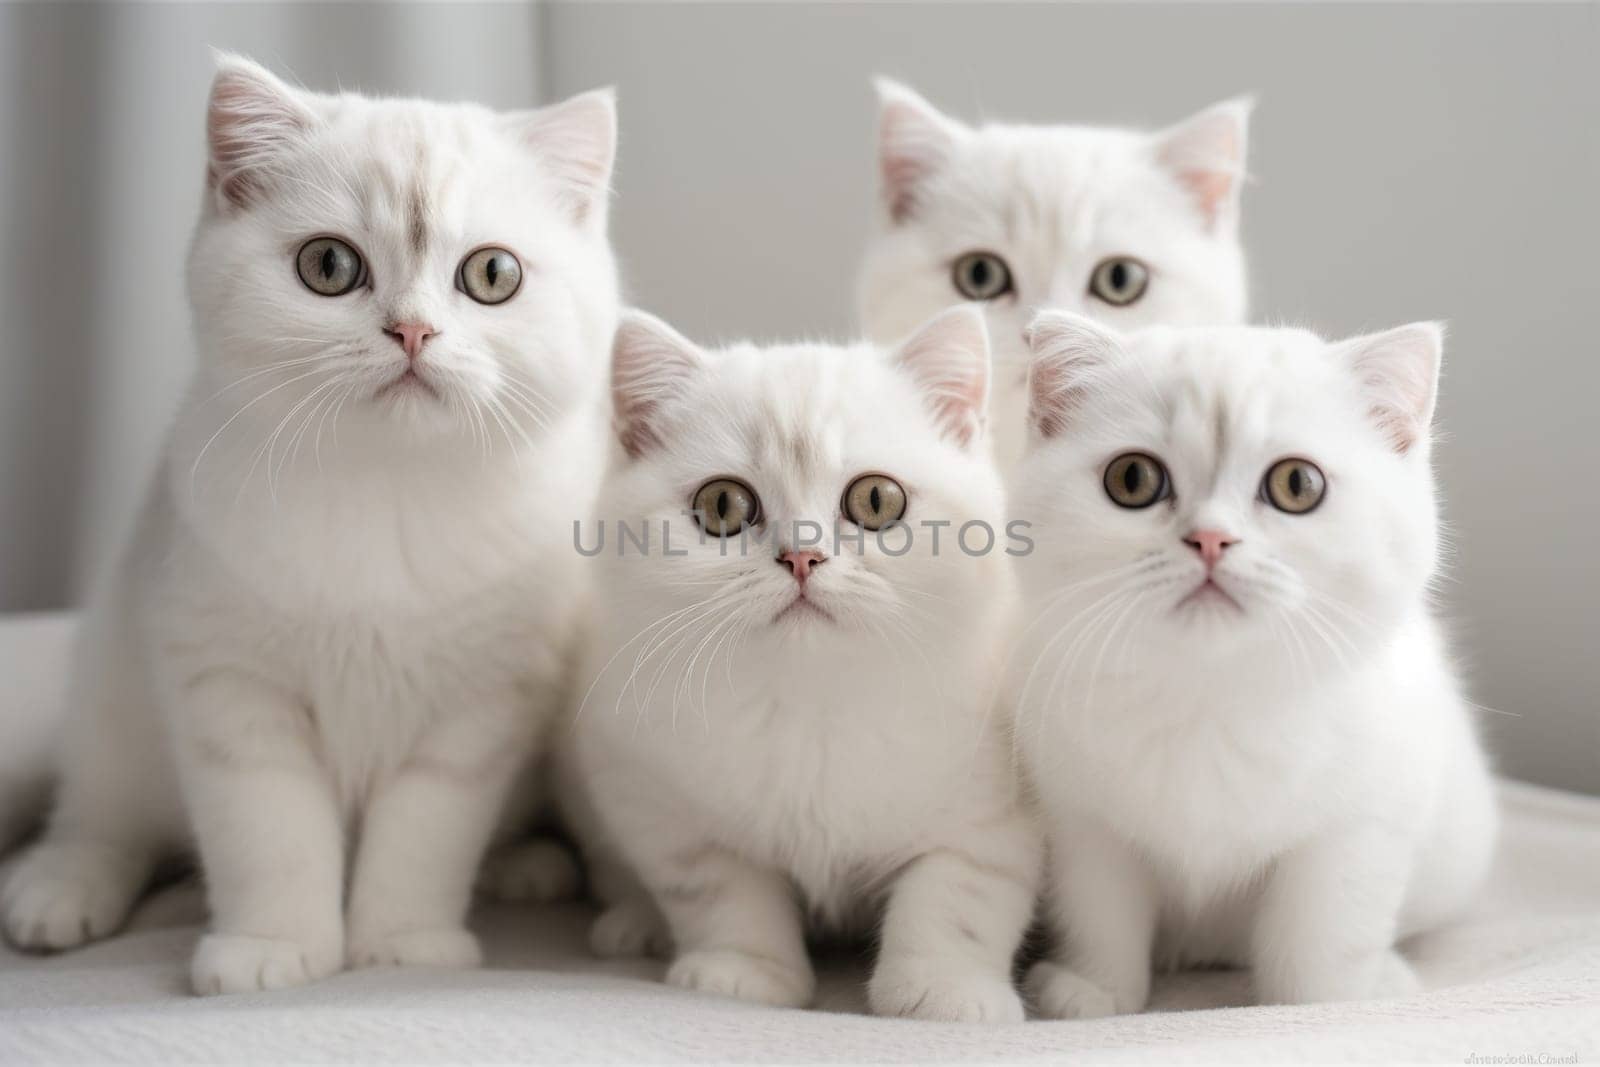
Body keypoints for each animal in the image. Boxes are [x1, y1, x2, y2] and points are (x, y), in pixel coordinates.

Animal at [0, 54, 620, 998]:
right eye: (330, 265)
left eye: (492, 275)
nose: (413, 329)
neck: (386, 490)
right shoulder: (229, 685)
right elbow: (270, 828)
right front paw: (271, 945)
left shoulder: (479, 706)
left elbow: (425, 828)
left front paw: (401, 938)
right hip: (110, 694)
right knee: (104, 813)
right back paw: (60, 886)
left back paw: (526, 864)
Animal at [569, 303, 1043, 1023]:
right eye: (722, 505)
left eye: (876, 500)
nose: (801, 556)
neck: (811, 704)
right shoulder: (655, 798)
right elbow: (724, 891)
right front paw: (745, 971)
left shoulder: (995, 812)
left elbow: (956, 895)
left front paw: (944, 990)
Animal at [1011, 313, 1497, 1017]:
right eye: (1132, 480)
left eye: (1298, 485)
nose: (1210, 539)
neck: (1211, 696)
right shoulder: (1084, 820)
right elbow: (1101, 910)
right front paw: (1094, 990)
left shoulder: (1358, 827)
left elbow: (1323, 936)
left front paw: (1329, 1001)